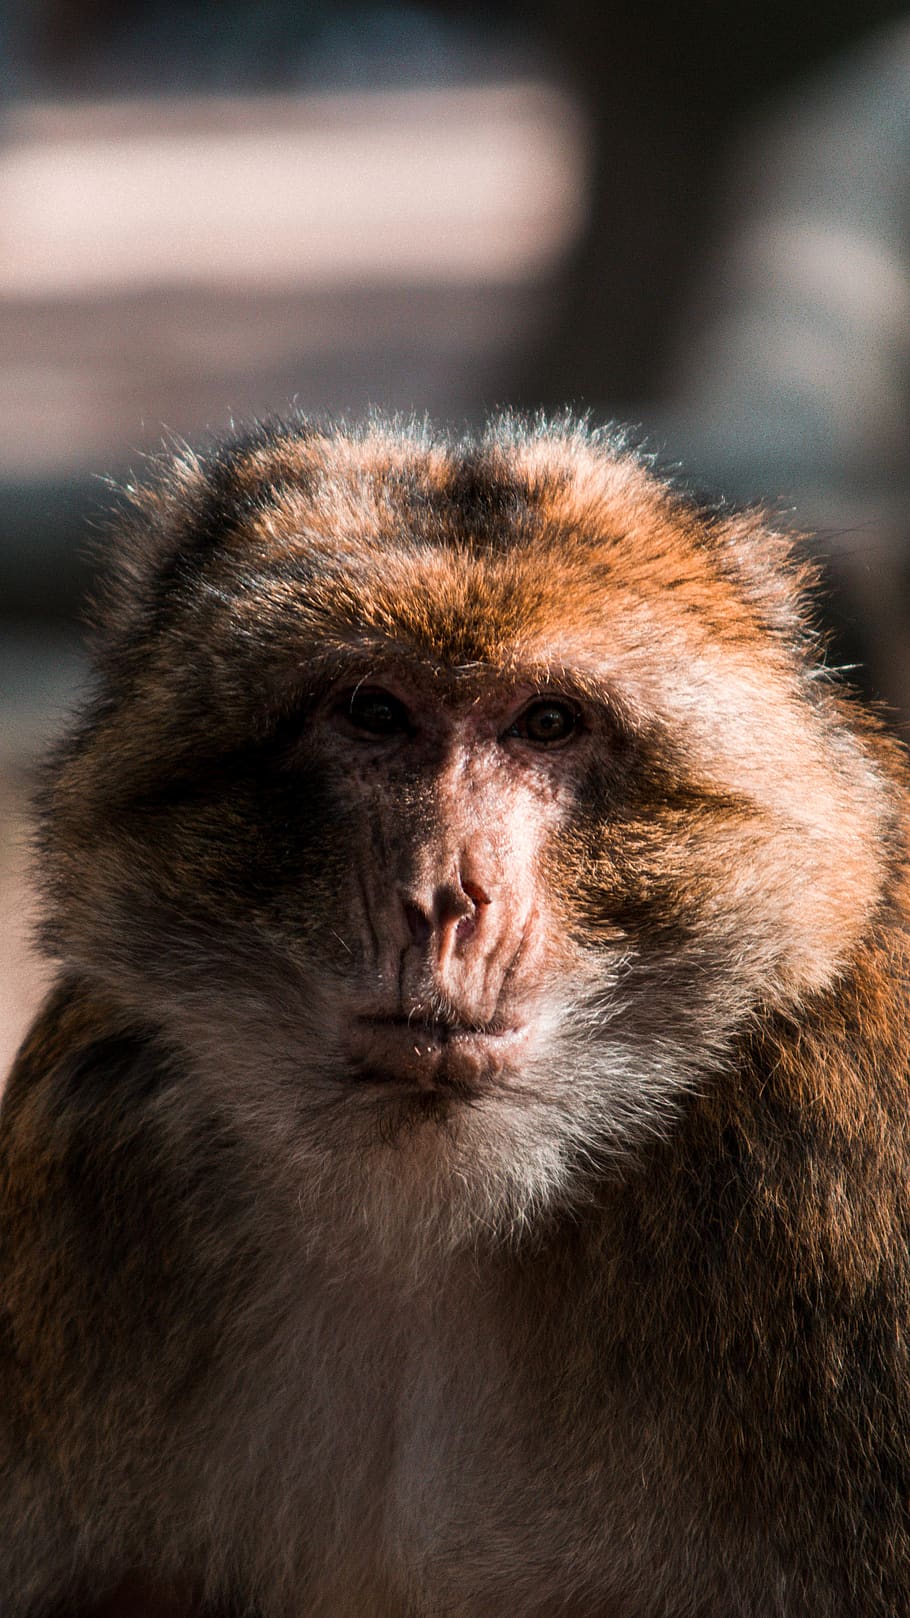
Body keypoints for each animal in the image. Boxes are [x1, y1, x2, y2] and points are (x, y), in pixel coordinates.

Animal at [1, 413, 909, 1618]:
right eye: (373, 713)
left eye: (547, 724)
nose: (443, 901)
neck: (436, 1202)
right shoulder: (93, 1140)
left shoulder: (830, 1175)